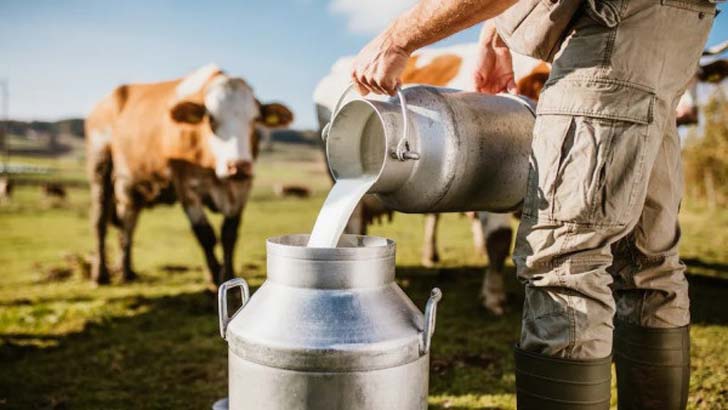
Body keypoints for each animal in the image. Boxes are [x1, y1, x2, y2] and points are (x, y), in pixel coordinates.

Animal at [85, 65, 290, 288]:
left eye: (254, 120)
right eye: (211, 119)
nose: (238, 166)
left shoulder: (242, 188)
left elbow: (229, 234)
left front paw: (228, 274)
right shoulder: (187, 187)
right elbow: (205, 234)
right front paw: (214, 278)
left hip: (130, 187)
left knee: (127, 225)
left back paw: (127, 271)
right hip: (100, 165)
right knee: (100, 222)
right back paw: (100, 274)